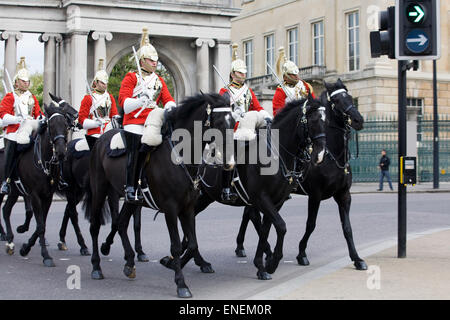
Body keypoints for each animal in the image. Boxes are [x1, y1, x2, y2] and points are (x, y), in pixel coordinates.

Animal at [15, 101, 77, 266]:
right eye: (51, 125)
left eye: (65, 125)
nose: (61, 152)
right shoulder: (35, 195)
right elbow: (41, 225)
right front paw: (46, 256)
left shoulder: (47, 196)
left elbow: (41, 224)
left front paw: (25, 248)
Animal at [83, 92, 236, 298]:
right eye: (218, 122)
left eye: (233, 121)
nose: (230, 162)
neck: (181, 155)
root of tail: (100, 140)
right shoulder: (171, 209)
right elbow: (176, 245)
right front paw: (181, 284)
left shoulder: (187, 208)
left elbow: (192, 243)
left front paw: (175, 265)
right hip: (99, 190)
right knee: (95, 226)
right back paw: (96, 267)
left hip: (131, 200)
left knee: (121, 223)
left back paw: (129, 262)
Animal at [178, 94, 328, 280]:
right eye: (313, 120)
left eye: (326, 121)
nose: (320, 155)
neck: (275, 153)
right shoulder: (261, 198)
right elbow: (280, 226)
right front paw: (272, 263)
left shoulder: (275, 201)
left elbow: (265, 229)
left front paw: (261, 266)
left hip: (206, 198)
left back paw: (197, 259)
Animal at [234, 78, 368, 270]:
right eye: (336, 101)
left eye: (350, 97)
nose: (358, 120)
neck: (332, 155)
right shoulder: (315, 195)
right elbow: (311, 224)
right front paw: (301, 253)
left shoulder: (344, 195)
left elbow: (347, 228)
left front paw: (357, 258)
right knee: (253, 215)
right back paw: (265, 251)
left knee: (249, 213)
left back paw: (243, 246)